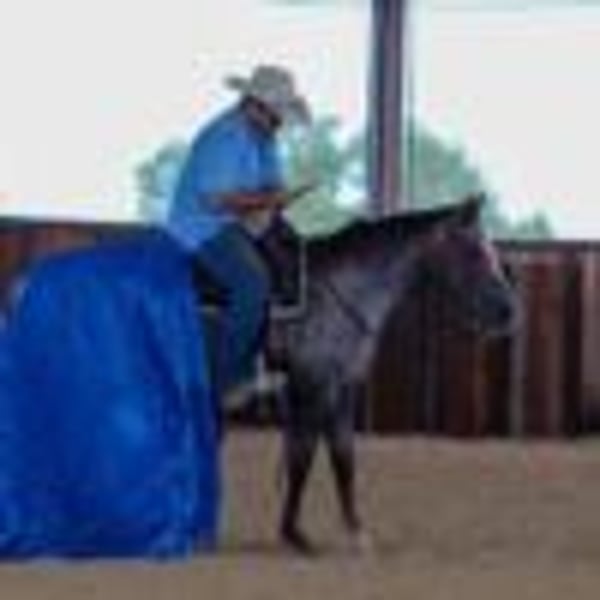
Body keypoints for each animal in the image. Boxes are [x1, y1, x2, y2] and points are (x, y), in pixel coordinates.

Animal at [260, 194, 519, 555]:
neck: (337, 293)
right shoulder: (314, 385)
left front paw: (356, 532)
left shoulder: (341, 388)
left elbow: (343, 456)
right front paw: (294, 534)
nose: (508, 311)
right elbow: (303, 456)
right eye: (474, 251)